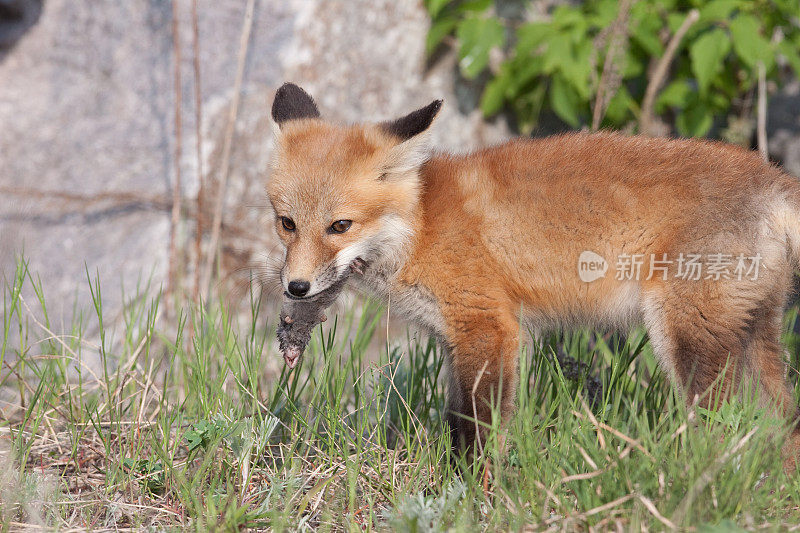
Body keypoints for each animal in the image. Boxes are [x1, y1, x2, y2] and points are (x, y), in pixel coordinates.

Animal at [268, 81, 800, 468]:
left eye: (340, 226)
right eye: (287, 223)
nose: (296, 287)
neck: (420, 227)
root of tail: (771, 177)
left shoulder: (489, 327)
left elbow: (482, 427)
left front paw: (476, 491)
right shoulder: (455, 337)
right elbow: (458, 420)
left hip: (687, 340)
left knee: (726, 424)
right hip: (753, 334)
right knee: (782, 420)